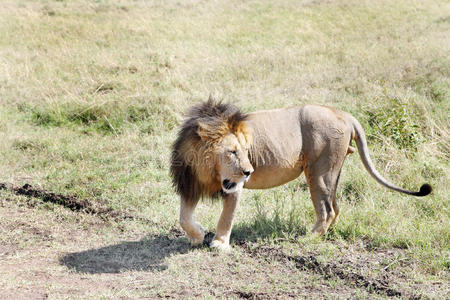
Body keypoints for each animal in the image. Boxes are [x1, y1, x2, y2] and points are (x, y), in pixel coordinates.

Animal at [170, 99, 432, 251]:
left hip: (319, 171)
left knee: (327, 209)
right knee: (335, 207)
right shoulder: (189, 184)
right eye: (232, 151)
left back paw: (310, 238)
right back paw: (327, 234)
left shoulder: (234, 186)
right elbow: (183, 218)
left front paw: (219, 243)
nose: (249, 171)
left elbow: (226, 217)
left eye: (246, 151)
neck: (206, 167)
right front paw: (197, 235)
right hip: (331, 171)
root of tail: (344, 114)